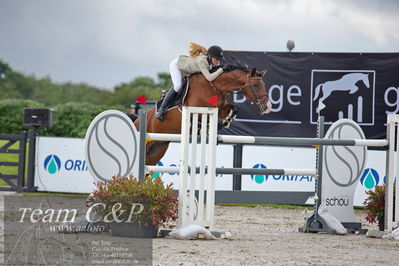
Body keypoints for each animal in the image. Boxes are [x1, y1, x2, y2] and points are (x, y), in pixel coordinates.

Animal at [134, 66, 272, 165]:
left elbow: (235, 108)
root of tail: (136, 121)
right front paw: (219, 124)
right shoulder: (195, 112)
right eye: (255, 85)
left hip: (158, 148)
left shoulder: (222, 107)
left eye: (264, 85)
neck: (214, 87)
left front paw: (226, 121)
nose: (268, 107)